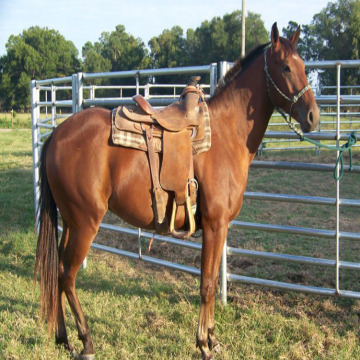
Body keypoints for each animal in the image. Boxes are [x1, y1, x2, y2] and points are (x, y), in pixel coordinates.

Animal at [34, 23, 320, 360]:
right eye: (285, 66)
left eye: (303, 66)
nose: (313, 116)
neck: (225, 134)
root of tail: (57, 135)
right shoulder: (214, 225)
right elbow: (207, 284)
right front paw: (203, 344)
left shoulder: (219, 228)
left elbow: (211, 279)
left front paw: (213, 339)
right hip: (85, 224)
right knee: (68, 275)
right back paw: (86, 341)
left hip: (70, 222)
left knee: (57, 270)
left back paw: (63, 337)